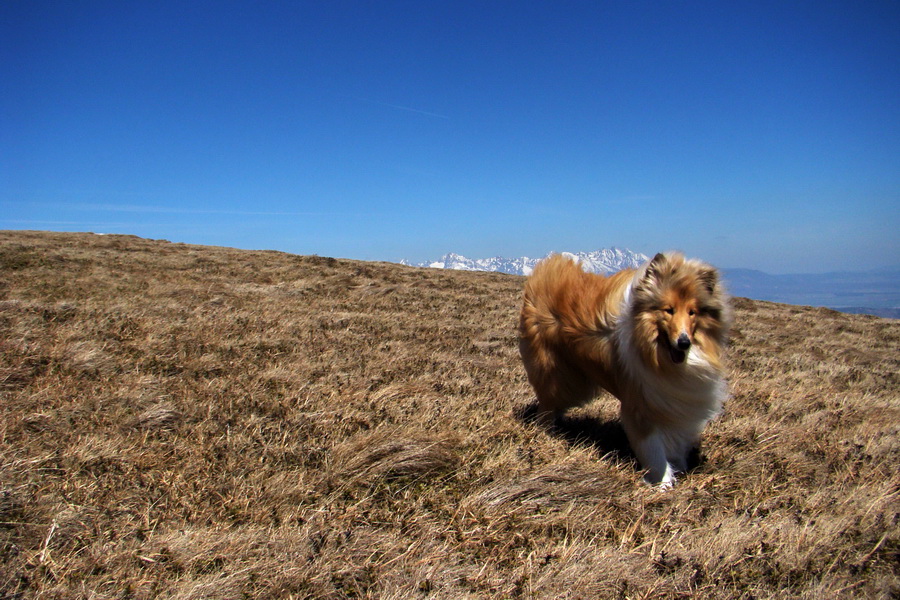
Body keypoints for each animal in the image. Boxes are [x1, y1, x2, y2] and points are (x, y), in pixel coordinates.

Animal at [520, 251, 732, 486]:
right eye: (668, 310)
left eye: (692, 312)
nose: (683, 342)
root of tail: (548, 267)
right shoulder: (641, 403)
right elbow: (653, 449)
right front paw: (663, 483)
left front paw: (679, 466)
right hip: (553, 372)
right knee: (547, 403)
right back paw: (546, 430)